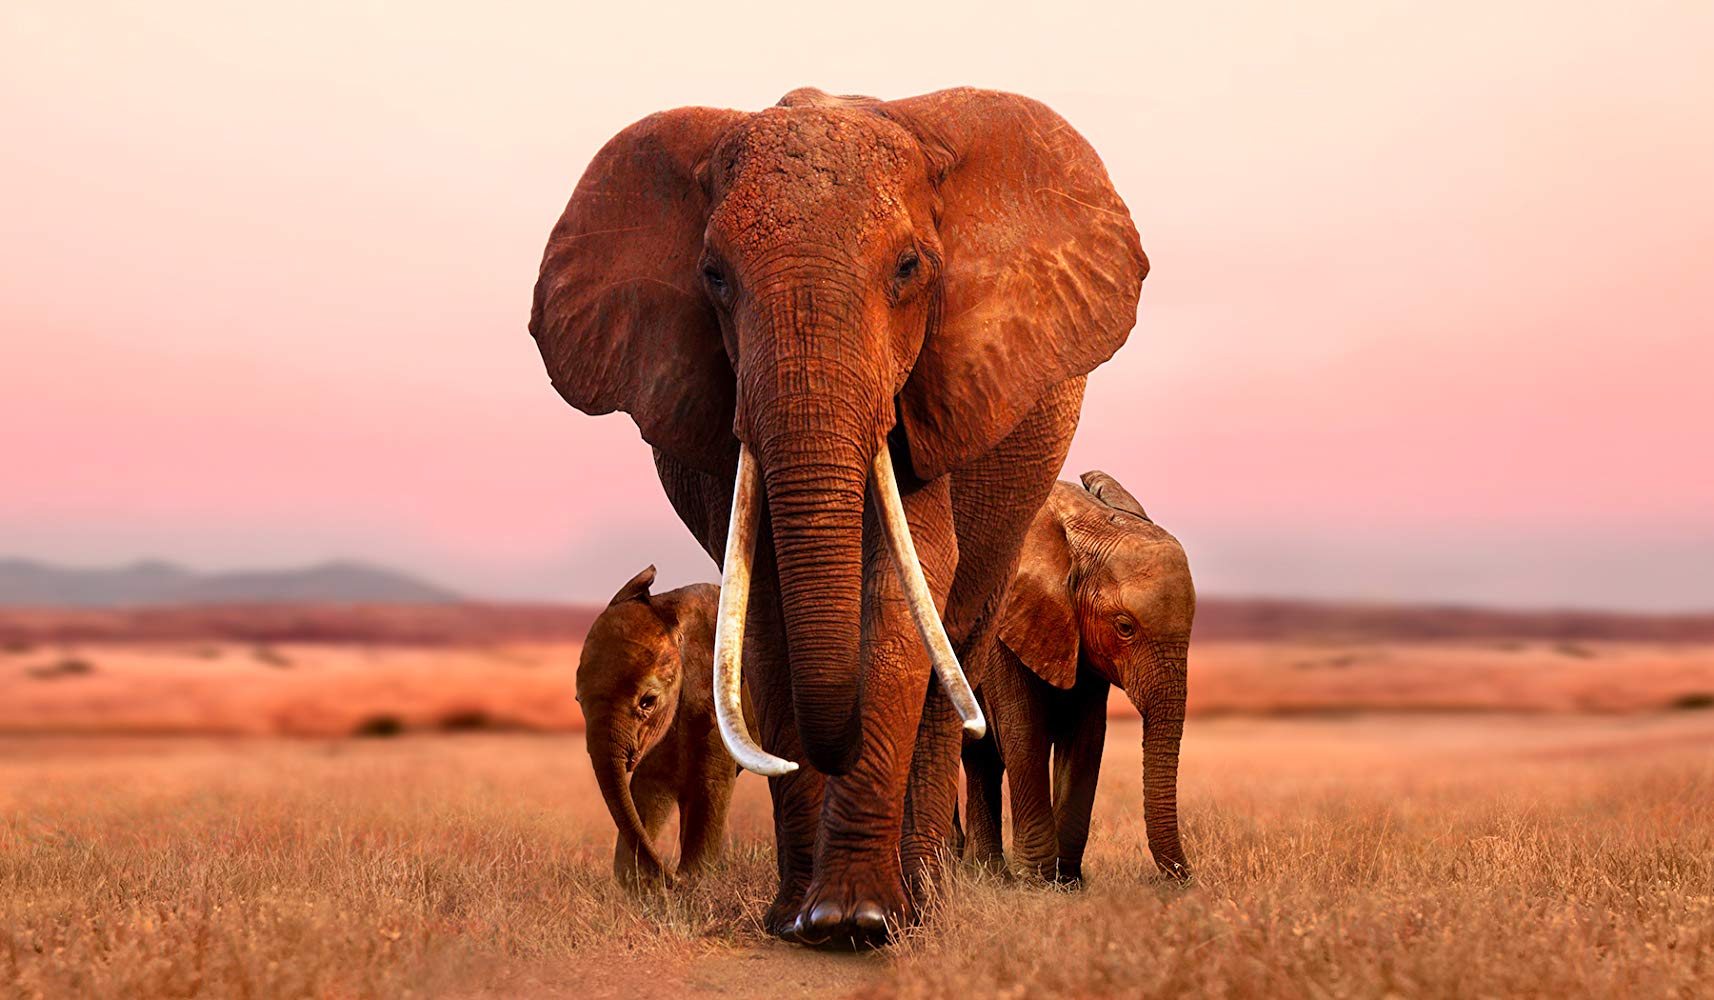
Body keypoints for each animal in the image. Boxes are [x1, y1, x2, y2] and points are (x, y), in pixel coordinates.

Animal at [576, 566, 738, 887]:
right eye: (578, 700)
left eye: (648, 702)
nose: (672, 876)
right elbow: (650, 784)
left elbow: (710, 783)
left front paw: (694, 879)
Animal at [961, 471, 1194, 885]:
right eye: (1124, 627)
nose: (1187, 879)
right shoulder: (1004, 621)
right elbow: (1024, 730)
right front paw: (1036, 883)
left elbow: (1087, 736)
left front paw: (1068, 883)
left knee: (980, 756)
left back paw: (985, 874)